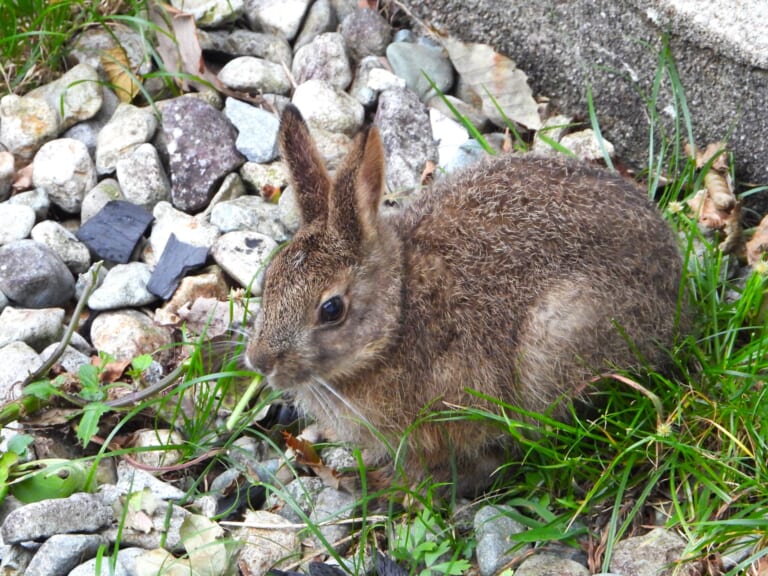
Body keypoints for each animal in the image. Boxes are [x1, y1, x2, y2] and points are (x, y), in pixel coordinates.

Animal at [246, 104, 684, 497]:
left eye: (331, 309)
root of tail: (676, 291)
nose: (260, 361)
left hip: (558, 337)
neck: (398, 314)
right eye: (270, 278)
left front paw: (387, 487)